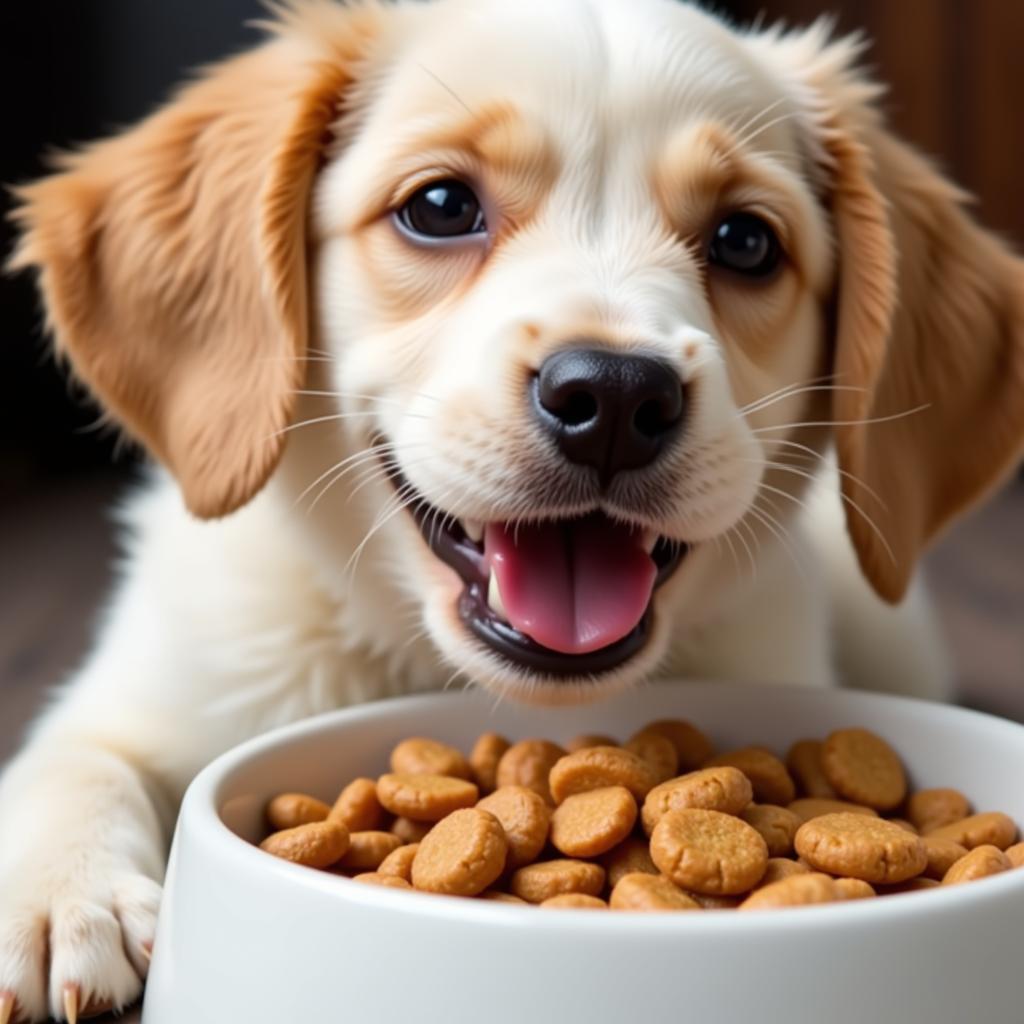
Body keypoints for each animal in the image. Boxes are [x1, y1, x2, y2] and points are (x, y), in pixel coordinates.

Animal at [2, 2, 1024, 1015]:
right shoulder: (155, 687)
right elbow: (72, 762)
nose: (614, 395)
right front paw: (59, 897)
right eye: (441, 208)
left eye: (746, 242)